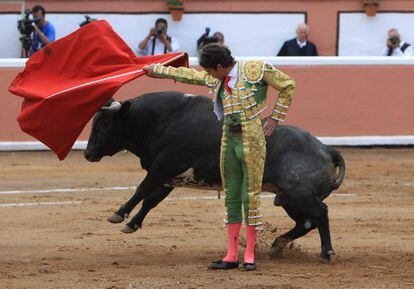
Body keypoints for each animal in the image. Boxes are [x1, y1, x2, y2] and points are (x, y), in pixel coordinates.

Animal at [85, 90, 346, 258]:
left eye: (104, 124)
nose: (88, 154)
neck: (162, 120)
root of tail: (326, 148)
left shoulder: (164, 166)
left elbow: (142, 189)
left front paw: (118, 215)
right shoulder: (170, 177)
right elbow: (151, 200)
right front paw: (132, 224)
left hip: (298, 192)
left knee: (320, 213)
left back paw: (327, 252)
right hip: (287, 197)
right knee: (306, 221)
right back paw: (277, 245)